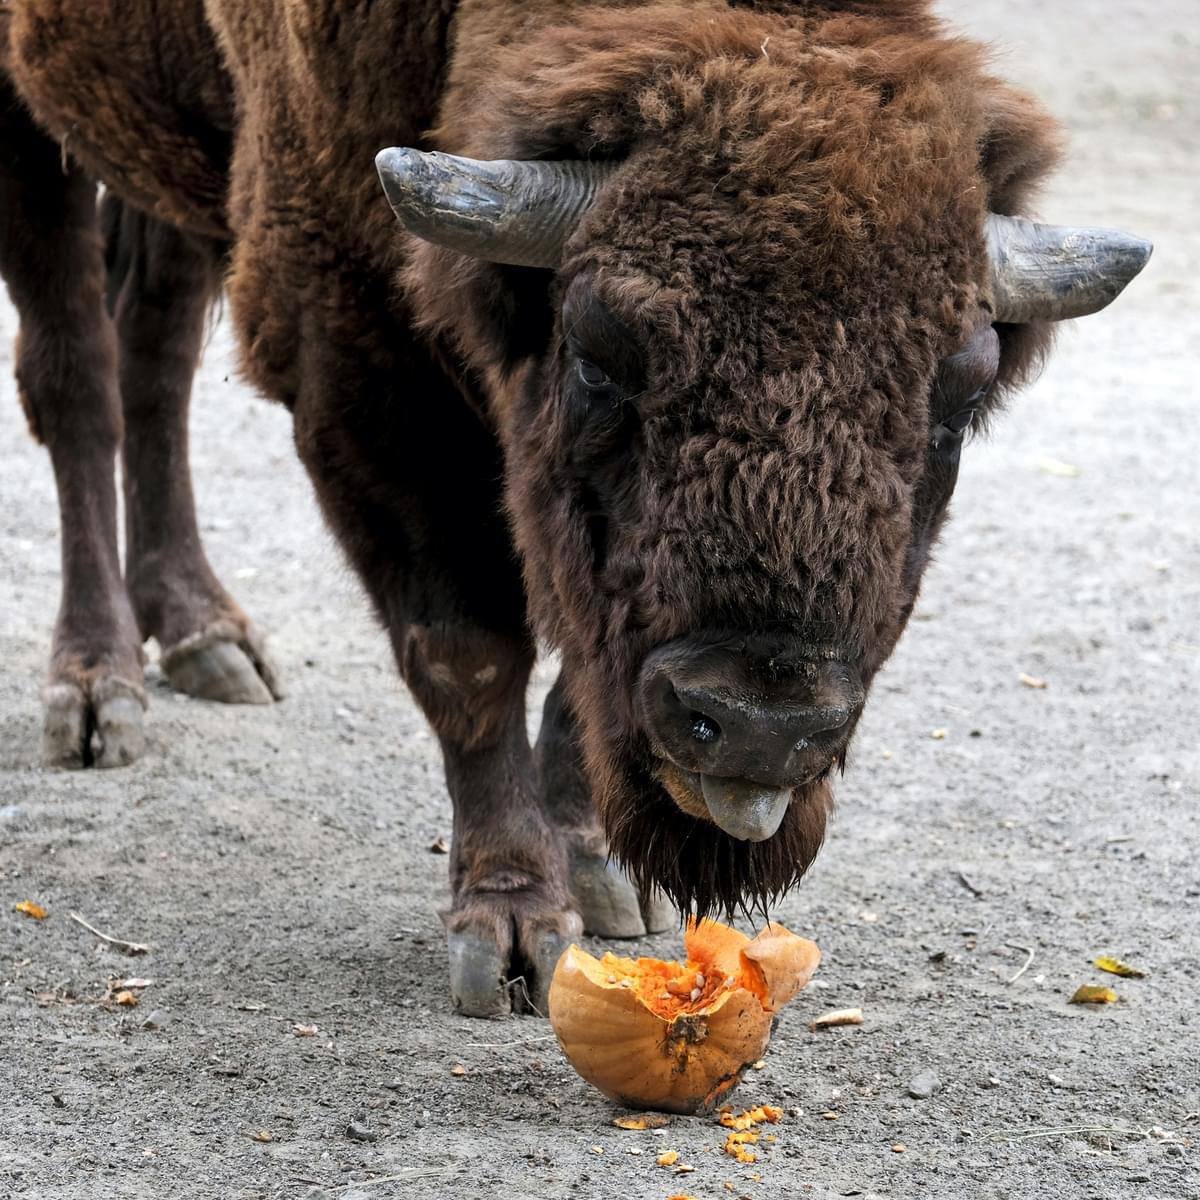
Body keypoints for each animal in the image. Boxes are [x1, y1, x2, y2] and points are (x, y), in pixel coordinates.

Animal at [0, 0, 1142, 1017]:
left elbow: (572, 676)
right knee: (79, 371)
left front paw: (601, 876)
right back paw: (97, 694)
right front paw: (507, 930)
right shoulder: (354, 349)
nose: (760, 726)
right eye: (598, 352)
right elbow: (468, 650)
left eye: (962, 396)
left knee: (153, 346)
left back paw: (205, 638)